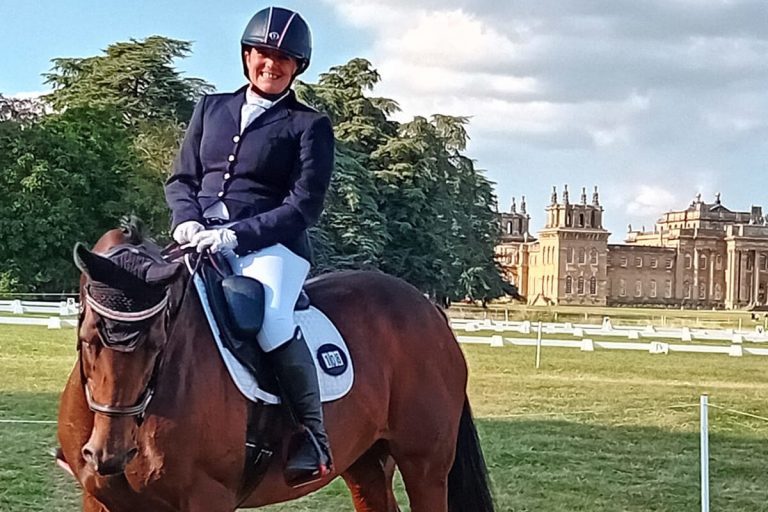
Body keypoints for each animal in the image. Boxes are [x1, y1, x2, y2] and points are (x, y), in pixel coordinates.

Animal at [57, 222, 494, 512]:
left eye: (157, 343)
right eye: (89, 339)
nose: (110, 455)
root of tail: (430, 309)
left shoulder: (207, 498)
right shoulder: (100, 500)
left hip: (426, 466)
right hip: (365, 463)